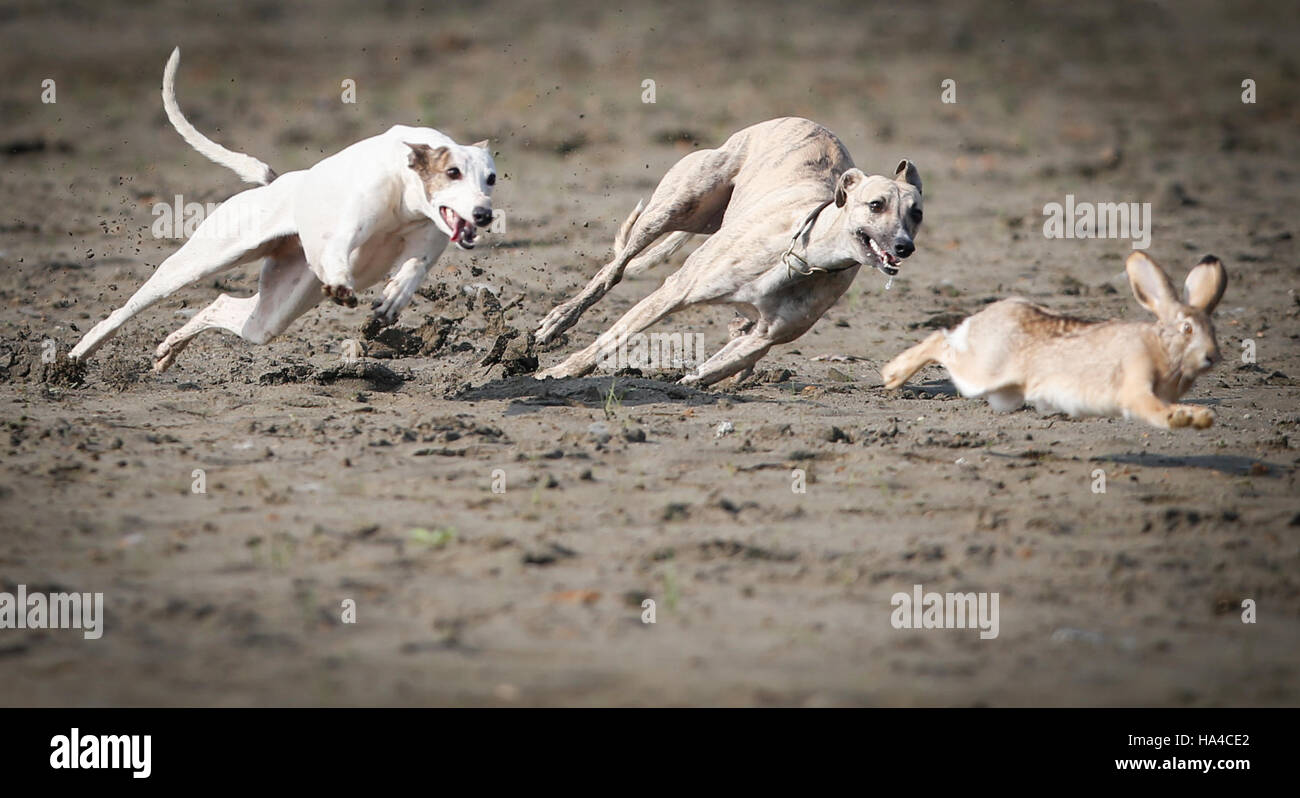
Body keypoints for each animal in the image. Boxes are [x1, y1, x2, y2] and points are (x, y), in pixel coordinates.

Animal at [71, 48, 496, 374]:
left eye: (490, 178)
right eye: (453, 172)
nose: (483, 215)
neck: (405, 189)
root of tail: (276, 183)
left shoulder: (427, 239)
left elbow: (414, 267)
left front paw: (397, 293)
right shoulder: (347, 227)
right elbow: (340, 246)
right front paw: (342, 281)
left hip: (274, 313)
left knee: (222, 306)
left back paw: (168, 350)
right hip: (195, 264)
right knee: (128, 308)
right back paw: (73, 358)